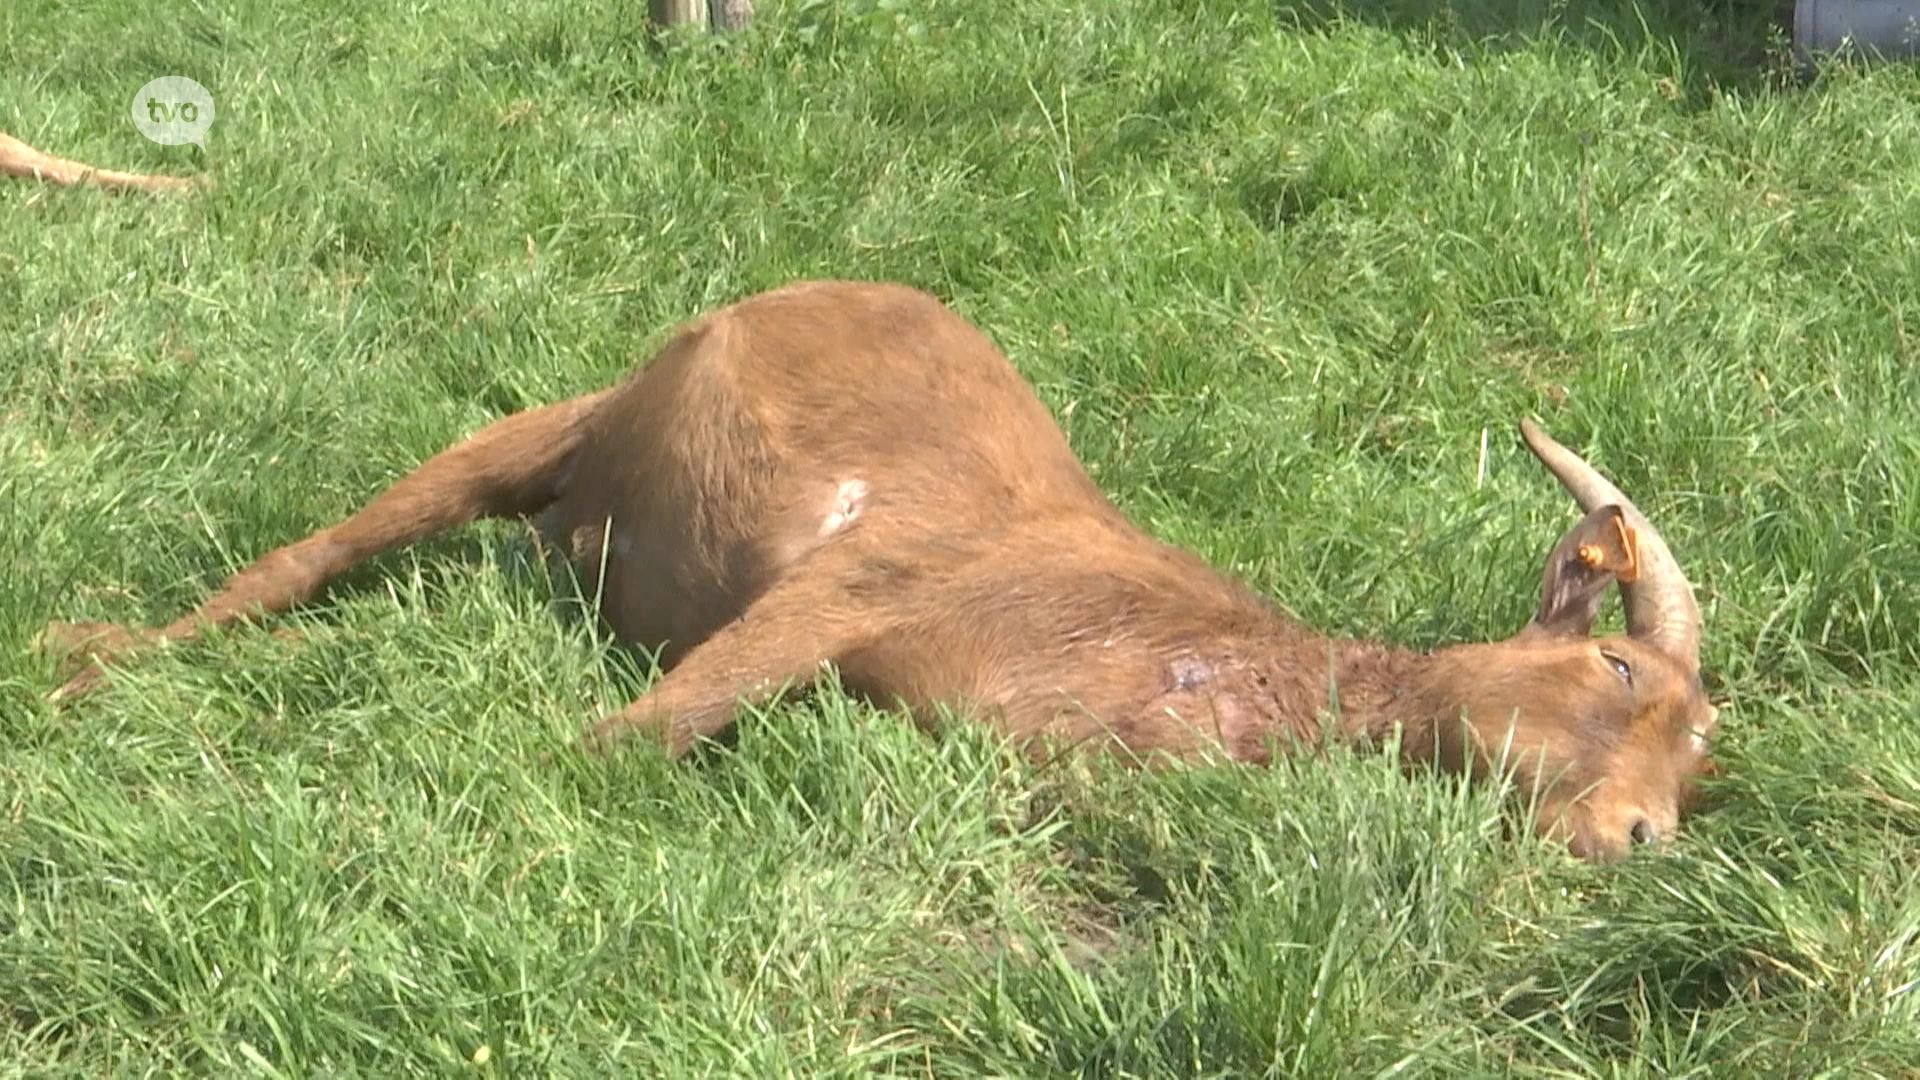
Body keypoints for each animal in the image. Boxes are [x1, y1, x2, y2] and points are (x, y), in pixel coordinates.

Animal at [45, 278, 1720, 857]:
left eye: (1699, 767)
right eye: (1615, 661)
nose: (1642, 838)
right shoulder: (862, 587)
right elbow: (624, 740)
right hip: (566, 423)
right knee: (319, 550)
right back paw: (93, 662)